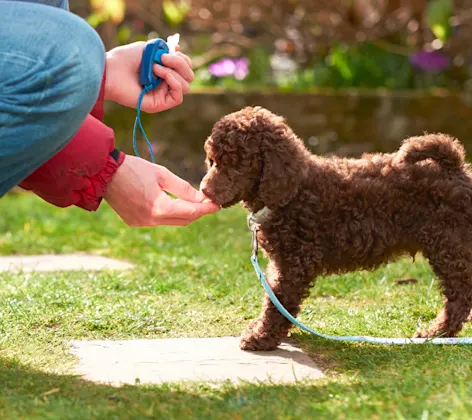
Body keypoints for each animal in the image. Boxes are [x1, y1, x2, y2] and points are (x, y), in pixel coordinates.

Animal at [201, 106, 472, 352]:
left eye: (237, 163)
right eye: (212, 161)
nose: (204, 190)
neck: (293, 191)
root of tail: (455, 168)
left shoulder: (294, 263)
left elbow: (277, 301)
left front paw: (261, 337)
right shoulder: (283, 263)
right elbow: (277, 300)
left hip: (450, 245)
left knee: (460, 296)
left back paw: (437, 332)